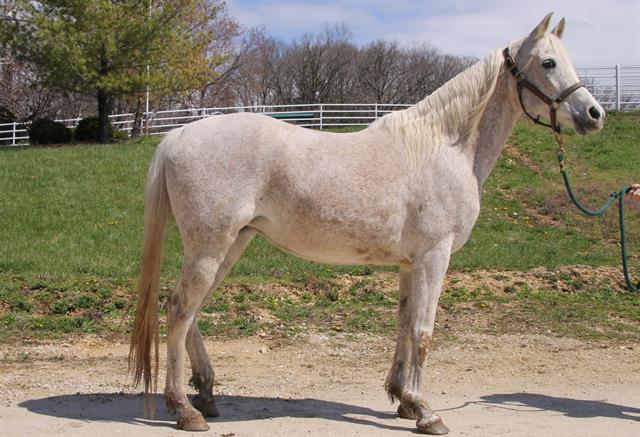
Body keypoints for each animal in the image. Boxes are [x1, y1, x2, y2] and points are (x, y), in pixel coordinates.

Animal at [130, 13, 604, 432]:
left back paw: (206, 395)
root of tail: (178, 135)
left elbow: (404, 325)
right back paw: (184, 409)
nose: (594, 114)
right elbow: (424, 332)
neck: (446, 147)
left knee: (191, 311)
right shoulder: (434, 256)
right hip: (211, 246)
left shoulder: (411, 264)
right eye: (548, 62)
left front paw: (405, 400)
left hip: (232, 244)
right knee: (179, 309)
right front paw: (428, 414)